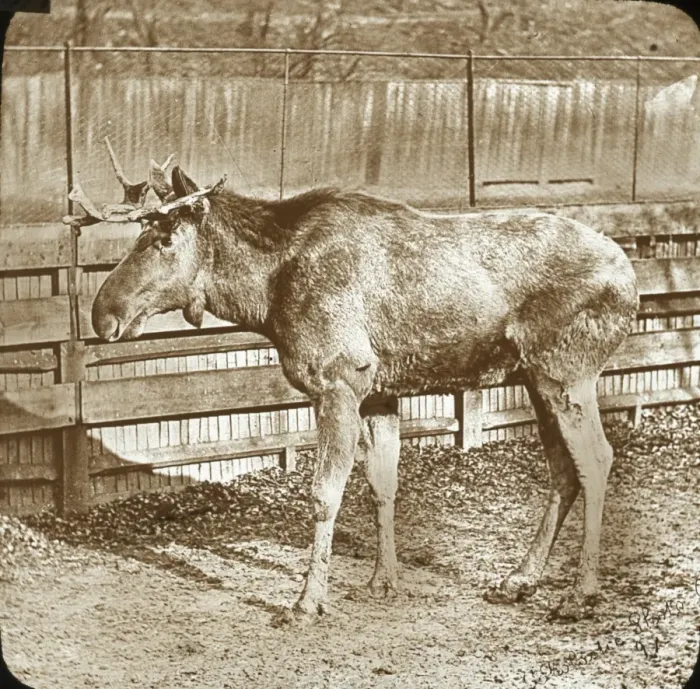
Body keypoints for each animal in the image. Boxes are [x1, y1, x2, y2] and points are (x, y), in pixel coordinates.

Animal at [65, 139, 639, 625]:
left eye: (164, 239)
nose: (102, 314)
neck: (266, 295)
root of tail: (631, 278)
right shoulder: (378, 391)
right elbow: (382, 485)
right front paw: (383, 580)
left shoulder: (338, 381)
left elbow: (324, 494)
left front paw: (306, 602)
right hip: (535, 376)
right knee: (564, 469)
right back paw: (519, 579)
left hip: (568, 369)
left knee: (596, 460)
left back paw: (579, 594)